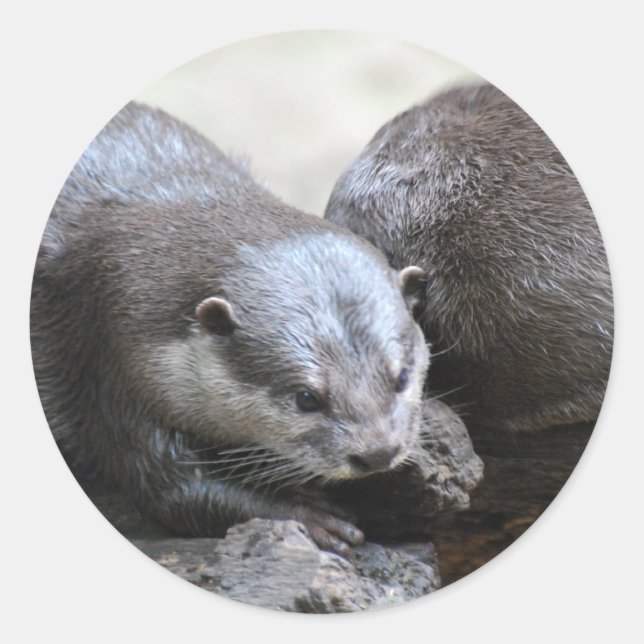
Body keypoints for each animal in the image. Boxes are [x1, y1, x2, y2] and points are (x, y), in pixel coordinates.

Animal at [31, 103, 430, 555]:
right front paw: (309, 515)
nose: (377, 452)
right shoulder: (110, 357)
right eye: (306, 398)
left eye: (401, 378)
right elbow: (173, 491)